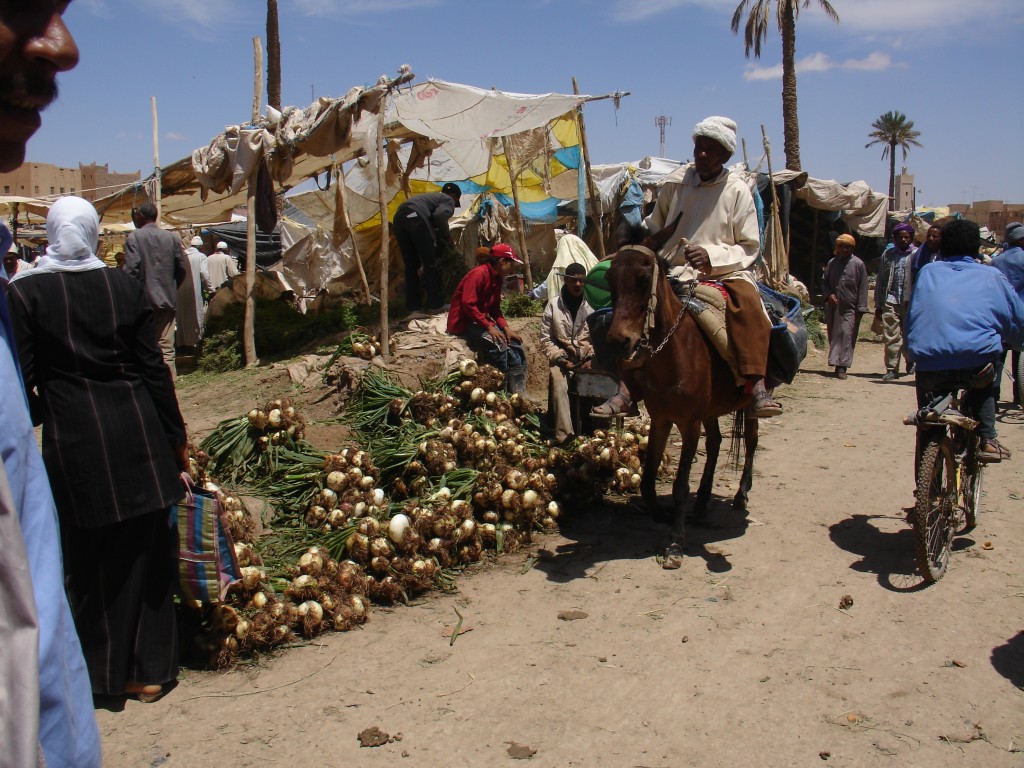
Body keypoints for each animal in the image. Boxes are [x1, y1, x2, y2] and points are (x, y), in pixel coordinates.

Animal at [602, 225, 757, 561]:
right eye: (609, 278)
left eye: (643, 277)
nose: (619, 342)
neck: (673, 354)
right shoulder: (662, 419)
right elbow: (648, 478)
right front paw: (660, 513)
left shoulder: (689, 424)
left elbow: (681, 485)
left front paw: (675, 543)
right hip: (711, 410)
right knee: (716, 442)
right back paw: (701, 506)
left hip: (751, 401)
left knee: (751, 441)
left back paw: (741, 494)